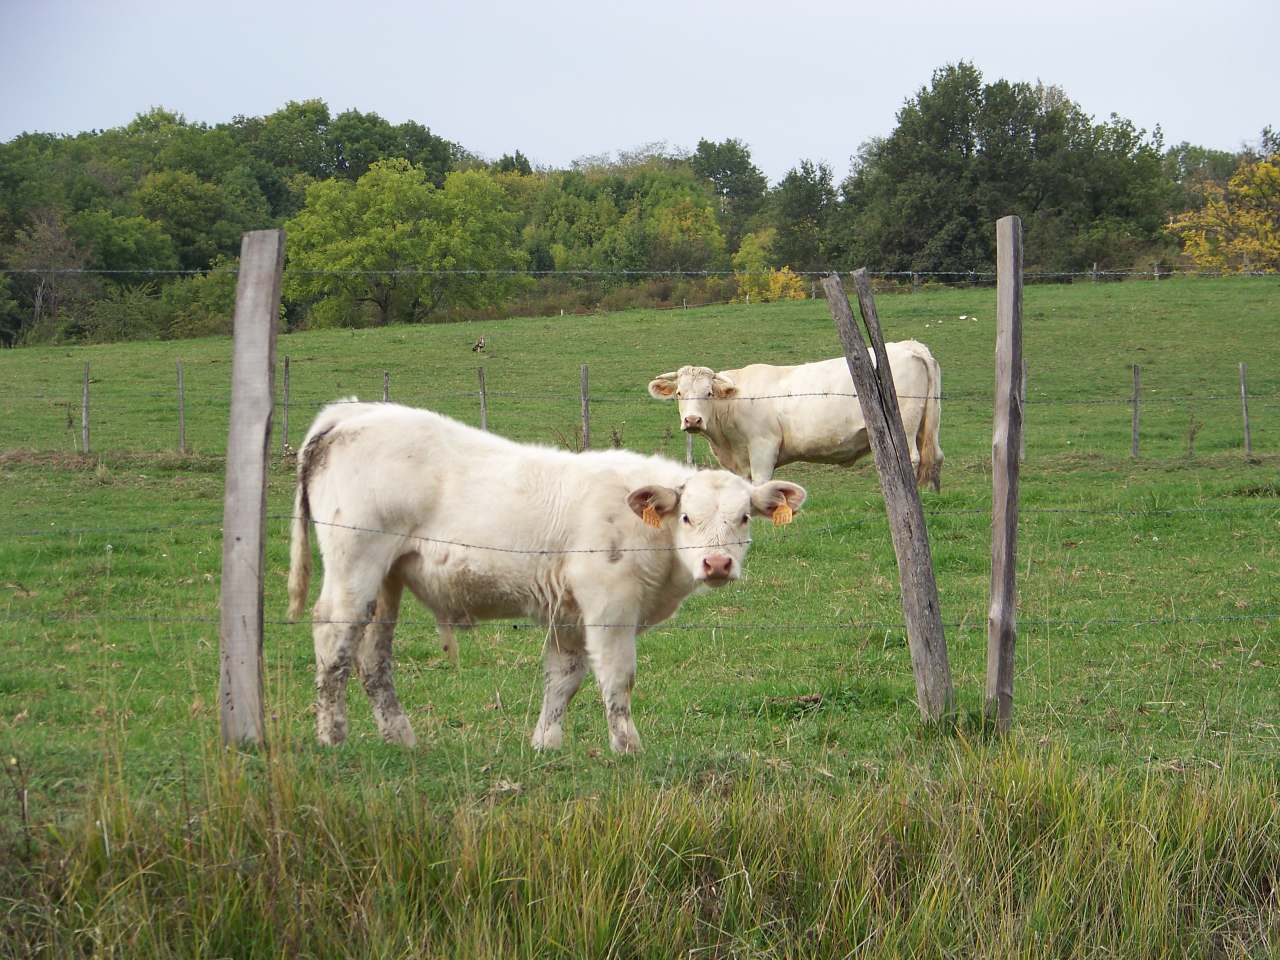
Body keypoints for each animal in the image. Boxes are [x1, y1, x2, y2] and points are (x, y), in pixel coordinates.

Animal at [293, 401, 798, 757]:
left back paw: (399, 737)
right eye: (688, 517)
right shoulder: (609, 608)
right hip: (355, 565)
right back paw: (332, 735)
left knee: (372, 658)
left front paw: (546, 743)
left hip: (386, 581)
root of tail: (355, 411)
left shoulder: (569, 615)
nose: (717, 564)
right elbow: (617, 678)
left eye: (744, 518)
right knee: (333, 639)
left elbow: (563, 680)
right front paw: (627, 747)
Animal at [650, 343, 942, 488]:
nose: (692, 420)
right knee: (935, 456)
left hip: (905, 424)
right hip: (928, 424)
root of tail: (909, 346)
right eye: (679, 393)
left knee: (913, 458)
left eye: (709, 392)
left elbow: (761, 483)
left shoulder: (763, 446)